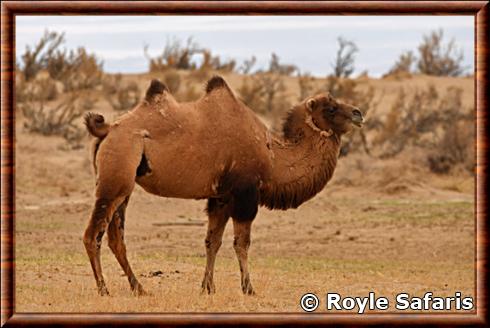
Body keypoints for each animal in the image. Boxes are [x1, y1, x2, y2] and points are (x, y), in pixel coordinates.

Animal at [81, 75, 364, 296]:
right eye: (330, 108)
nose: (358, 113)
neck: (272, 157)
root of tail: (108, 129)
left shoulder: (221, 197)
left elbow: (212, 241)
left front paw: (207, 287)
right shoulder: (245, 194)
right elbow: (242, 243)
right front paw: (248, 289)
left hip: (124, 186)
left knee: (115, 237)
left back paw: (139, 288)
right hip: (115, 178)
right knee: (93, 234)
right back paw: (104, 289)